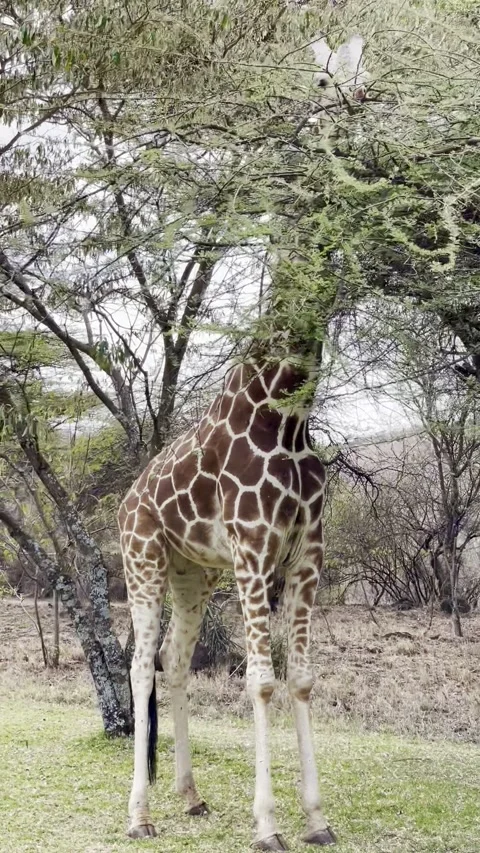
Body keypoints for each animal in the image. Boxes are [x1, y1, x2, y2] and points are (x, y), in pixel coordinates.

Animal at [118, 345, 335, 849]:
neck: (285, 416)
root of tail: (125, 502)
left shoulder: (308, 552)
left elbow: (301, 679)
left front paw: (317, 820)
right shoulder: (253, 548)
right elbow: (261, 681)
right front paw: (267, 826)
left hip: (193, 574)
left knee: (174, 657)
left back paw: (191, 796)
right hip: (143, 559)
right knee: (141, 665)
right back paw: (140, 816)